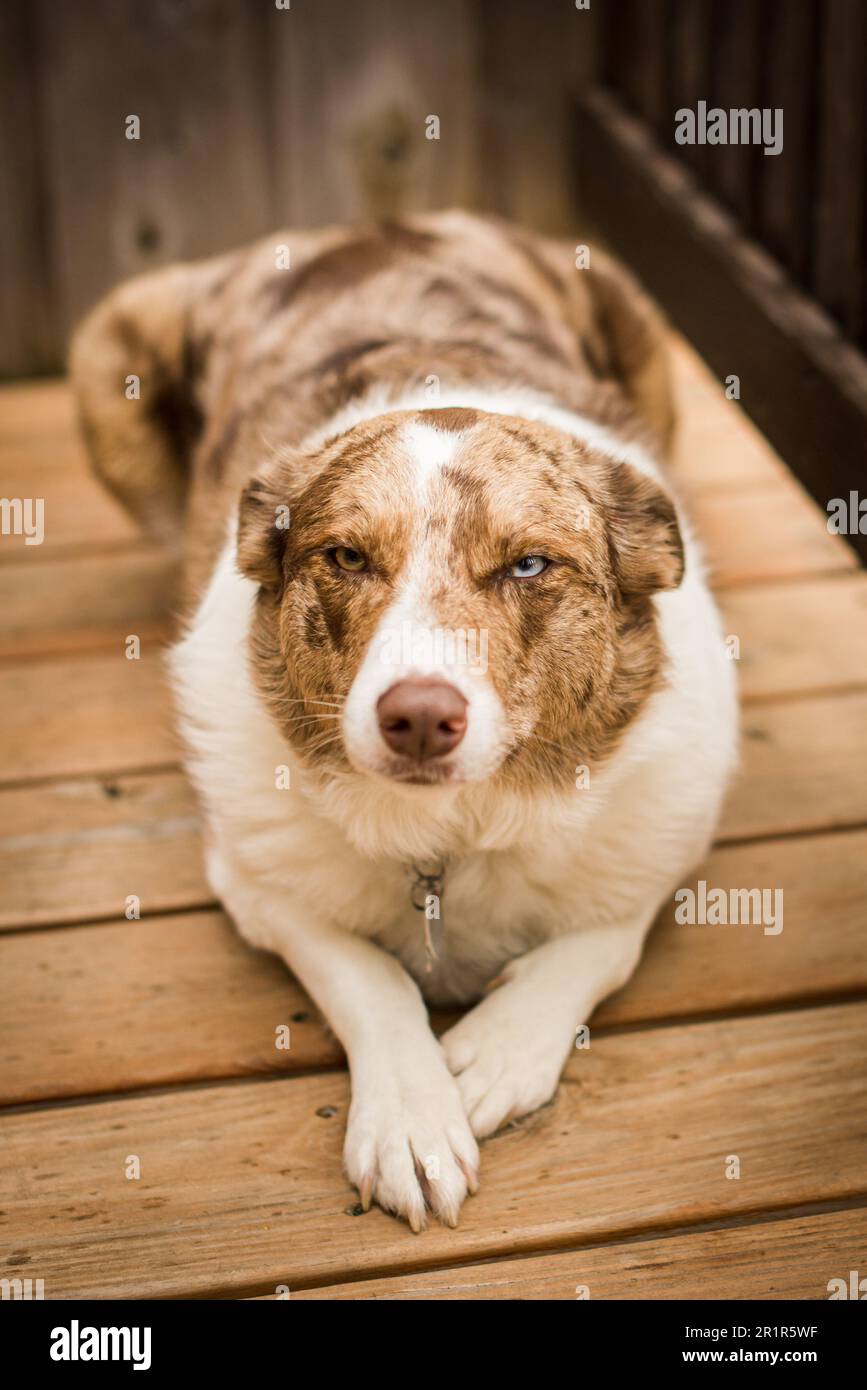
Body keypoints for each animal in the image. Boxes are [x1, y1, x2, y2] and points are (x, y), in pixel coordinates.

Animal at [72, 211, 739, 1234]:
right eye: (346, 556)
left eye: (529, 566)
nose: (418, 719)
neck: (452, 837)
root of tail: (359, 224)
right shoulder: (256, 884)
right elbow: (368, 977)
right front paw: (412, 1121)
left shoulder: (659, 849)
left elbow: (599, 942)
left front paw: (495, 1054)